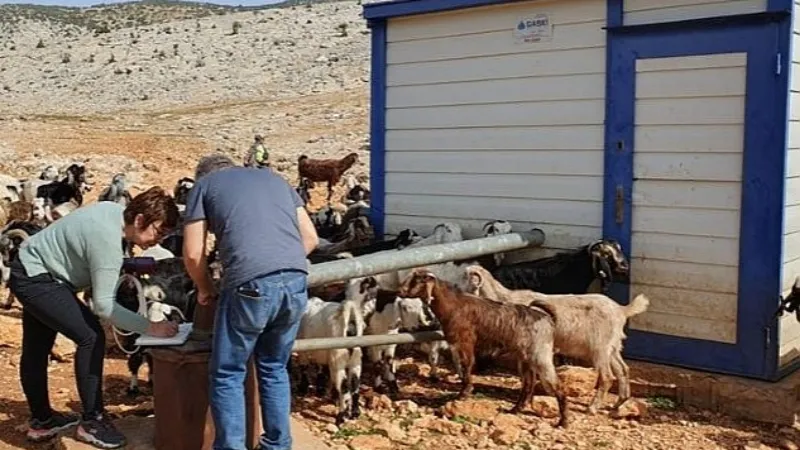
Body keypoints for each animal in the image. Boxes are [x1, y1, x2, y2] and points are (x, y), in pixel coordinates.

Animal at [398, 268, 572, 428]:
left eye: (418, 280)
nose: (400, 291)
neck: (454, 305)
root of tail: (548, 319)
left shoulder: (465, 341)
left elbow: (466, 365)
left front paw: (464, 393)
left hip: (540, 355)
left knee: (558, 387)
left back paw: (563, 422)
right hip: (525, 358)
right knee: (528, 385)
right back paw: (514, 410)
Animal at [462, 264, 648, 414]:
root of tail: (621, 309)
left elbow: (527, 378)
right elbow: (529, 378)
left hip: (600, 348)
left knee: (607, 377)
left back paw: (593, 408)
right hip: (613, 346)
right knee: (623, 370)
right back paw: (618, 404)